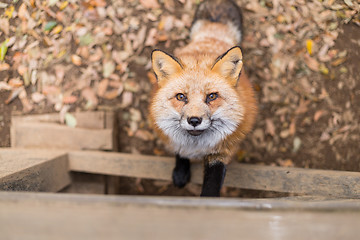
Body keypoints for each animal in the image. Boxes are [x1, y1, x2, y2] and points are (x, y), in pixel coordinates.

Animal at [150, 0, 258, 196]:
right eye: (181, 97)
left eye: (212, 96)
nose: (194, 120)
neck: (196, 146)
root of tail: (210, 38)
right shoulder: (174, 141)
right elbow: (180, 153)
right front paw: (181, 173)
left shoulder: (221, 153)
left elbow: (211, 187)